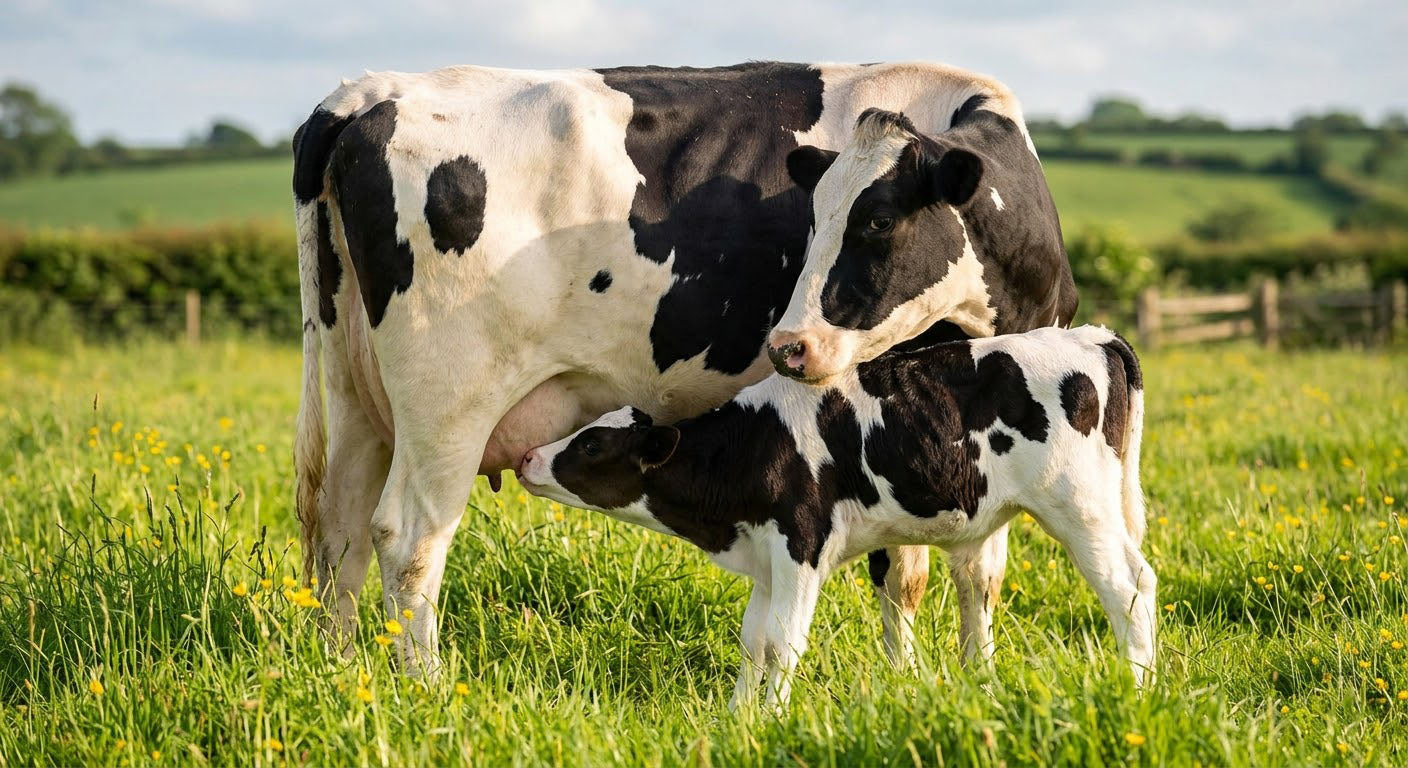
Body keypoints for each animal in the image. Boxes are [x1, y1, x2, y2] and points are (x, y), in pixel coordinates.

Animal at [291, 61, 1077, 675]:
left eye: (878, 221)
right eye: (813, 220)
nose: (789, 345)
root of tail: (365, 95)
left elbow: (915, 565)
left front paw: (911, 679)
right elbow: (970, 564)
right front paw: (971, 681)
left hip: (358, 391)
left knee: (341, 529)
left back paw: (342, 668)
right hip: (449, 400)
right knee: (408, 539)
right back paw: (423, 685)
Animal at [519, 326, 1154, 709]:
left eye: (592, 444)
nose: (527, 458)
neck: (750, 449)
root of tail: (1093, 337)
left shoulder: (802, 543)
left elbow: (783, 642)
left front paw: (773, 716)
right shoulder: (767, 556)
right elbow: (753, 640)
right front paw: (738, 715)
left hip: (1079, 505)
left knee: (1127, 586)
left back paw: (1138, 682)